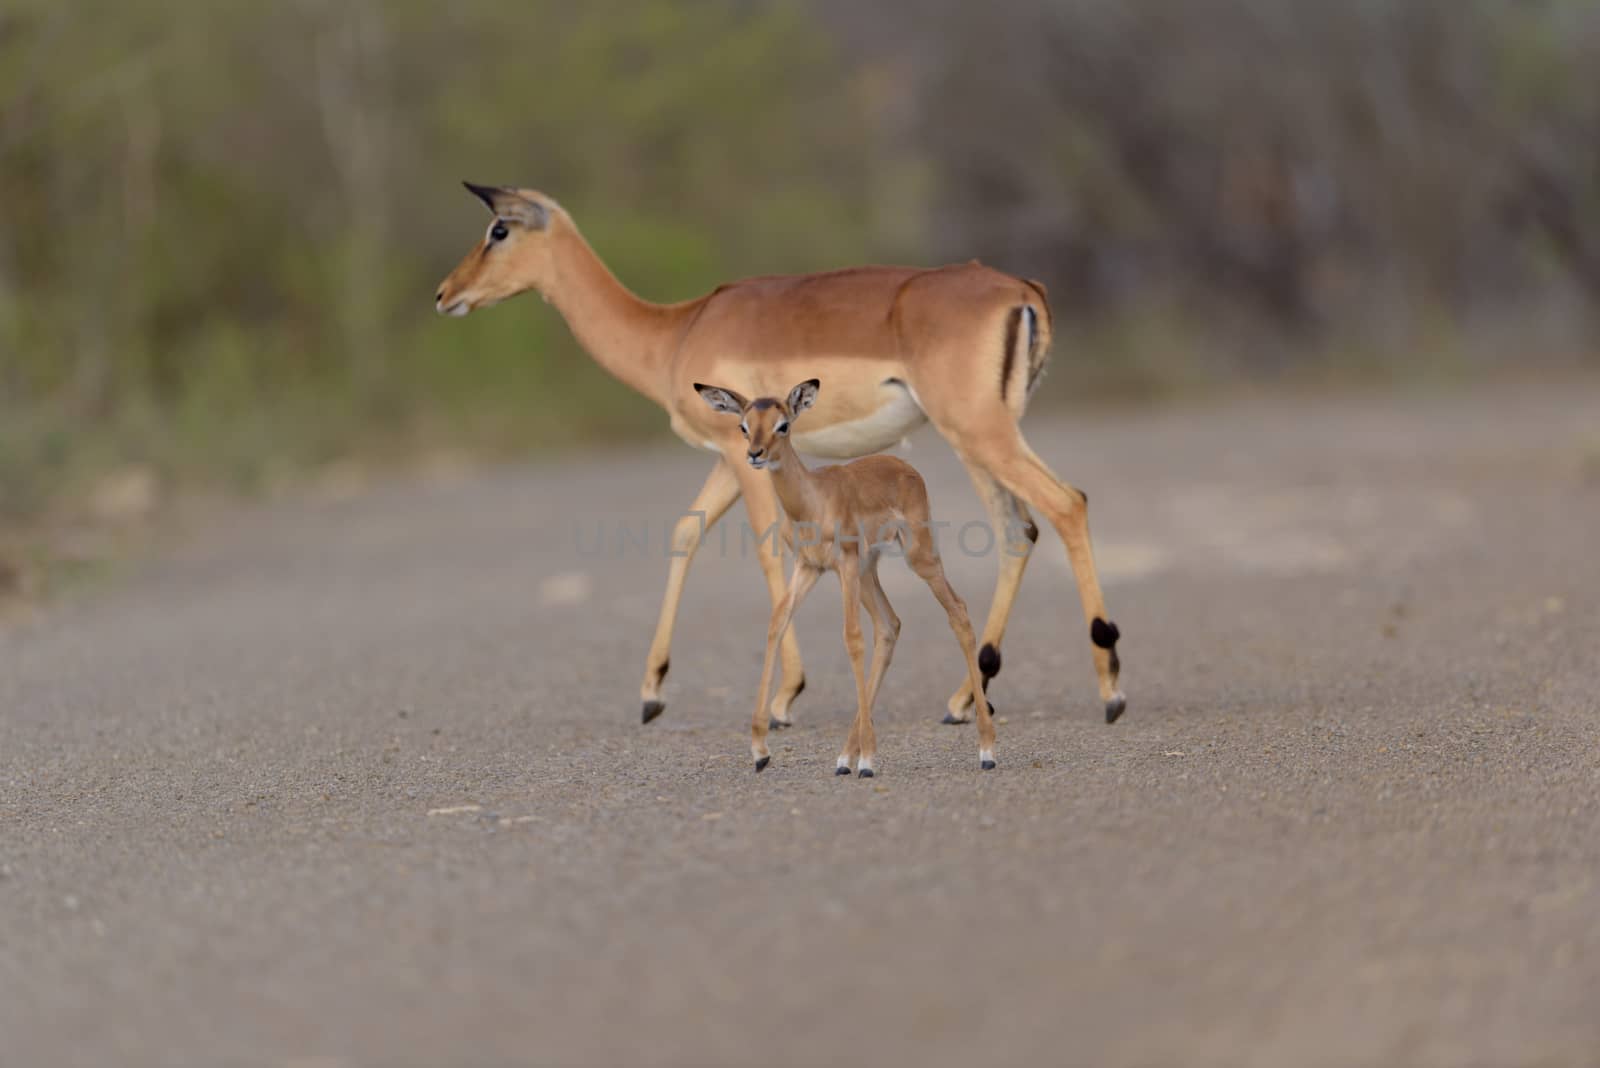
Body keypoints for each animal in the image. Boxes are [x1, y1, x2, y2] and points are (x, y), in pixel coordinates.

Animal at [694, 378, 992, 770]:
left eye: (783, 424)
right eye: (744, 426)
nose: (755, 454)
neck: (812, 502)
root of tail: (904, 466)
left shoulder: (844, 565)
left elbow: (852, 638)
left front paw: (868, 759)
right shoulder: (809, 568)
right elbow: (777, 624)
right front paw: (760, 751)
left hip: (917, 559)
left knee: (957, 612)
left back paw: (986, 750)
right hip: (867, 573)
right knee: (889, 625)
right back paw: (845, 757)